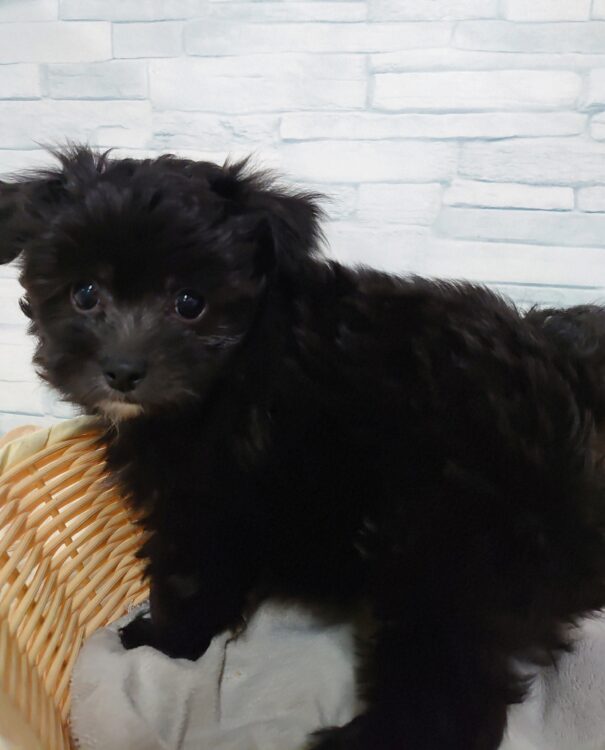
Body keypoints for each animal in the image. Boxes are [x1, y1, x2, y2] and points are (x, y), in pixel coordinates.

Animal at [2, 146, 605, 750]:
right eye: (84, 294)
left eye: (190, 303)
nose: (124, 370)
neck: (235, 368)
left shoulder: (204, 506)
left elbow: (189, 580)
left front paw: (158, 643)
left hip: (447, 559)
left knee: (450, 700)